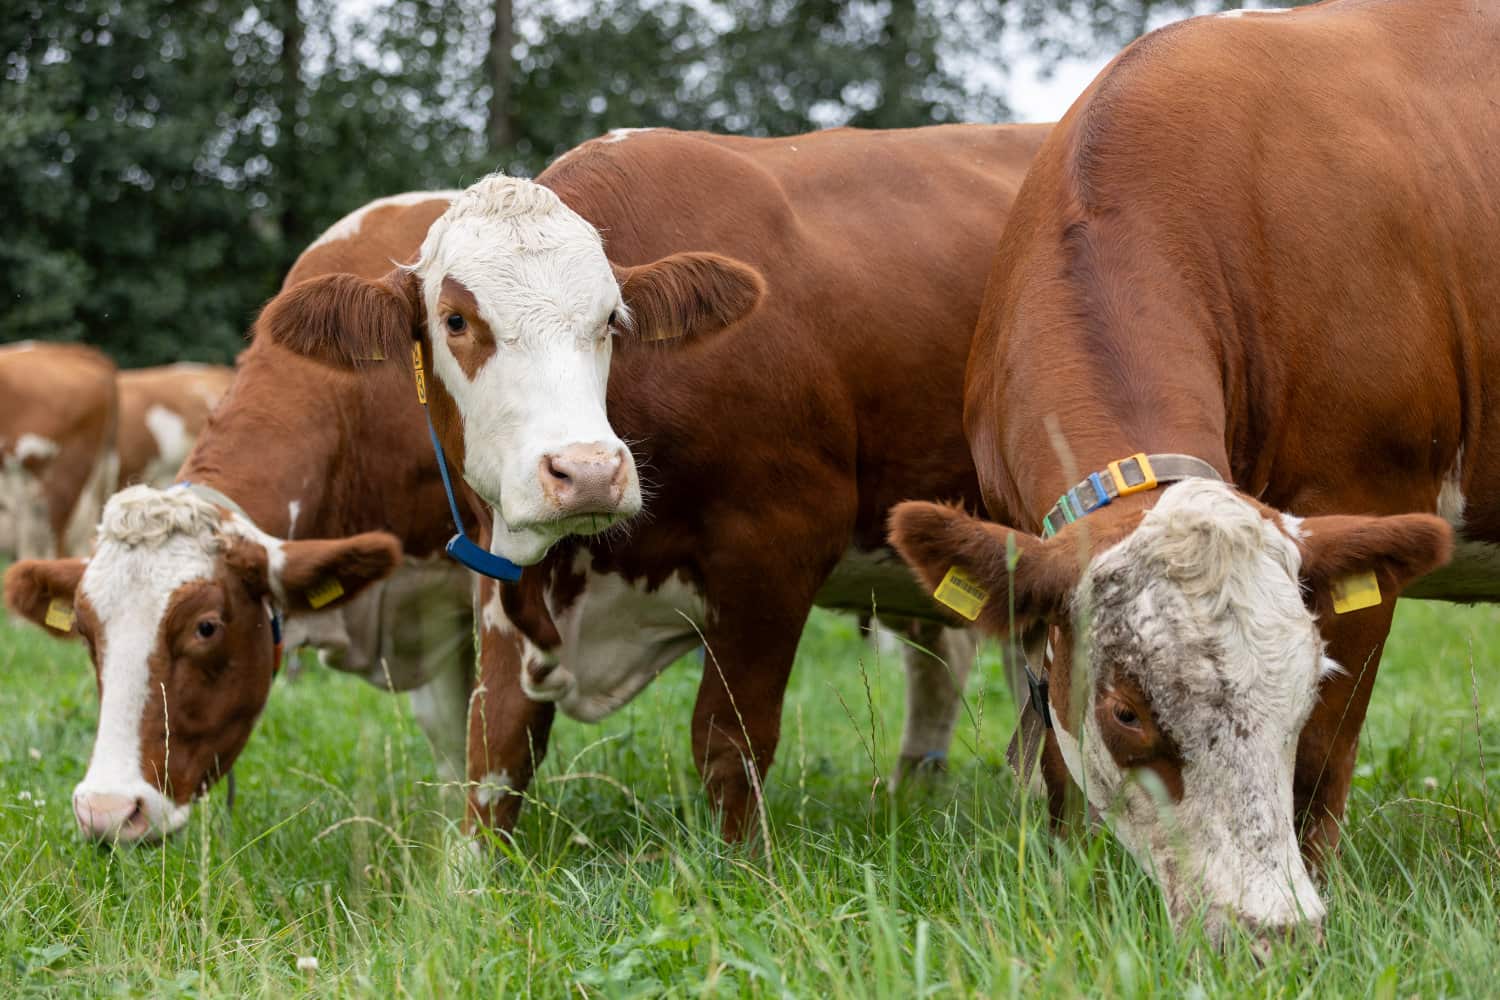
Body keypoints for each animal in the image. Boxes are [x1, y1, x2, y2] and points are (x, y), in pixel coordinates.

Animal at [258, 123, 1050, 840]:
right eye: (455, 319)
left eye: (612, 318)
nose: (587, 472)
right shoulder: (498, 571)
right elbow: (497, 744)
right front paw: (470, 881)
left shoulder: (775, 557)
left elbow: (730, 745)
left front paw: (746, 874)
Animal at [887, 0, 1494, 944]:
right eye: (1127, 712)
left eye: (1301, 692)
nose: (1270, 932)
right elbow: (1058, 766)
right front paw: (1074, 885)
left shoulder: (1369, 495)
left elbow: (1321, 760)